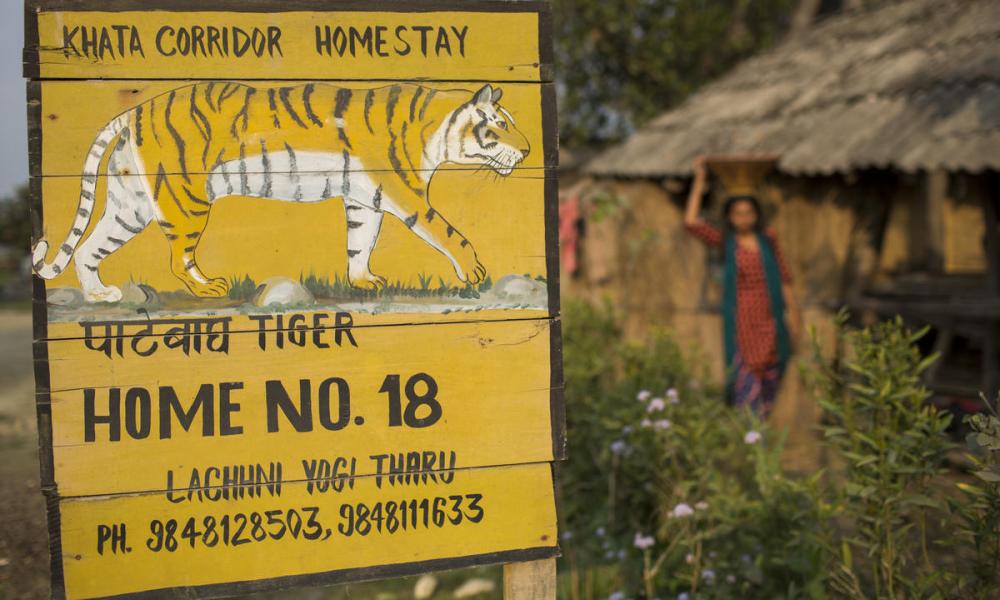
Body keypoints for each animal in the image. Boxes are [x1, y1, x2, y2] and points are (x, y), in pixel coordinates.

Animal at [31, 82, 532, 302]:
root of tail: (132, 112)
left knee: (88, 249)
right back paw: (207, 287)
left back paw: (100, 295)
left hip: (129, 206)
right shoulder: (404, 193)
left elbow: (359, 241)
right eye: (500, 126)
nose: (528, 150)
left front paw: (362, 281)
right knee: (177, 257)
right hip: (185, 199)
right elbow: (447, 231)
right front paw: (474, 271)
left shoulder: (363, 198)